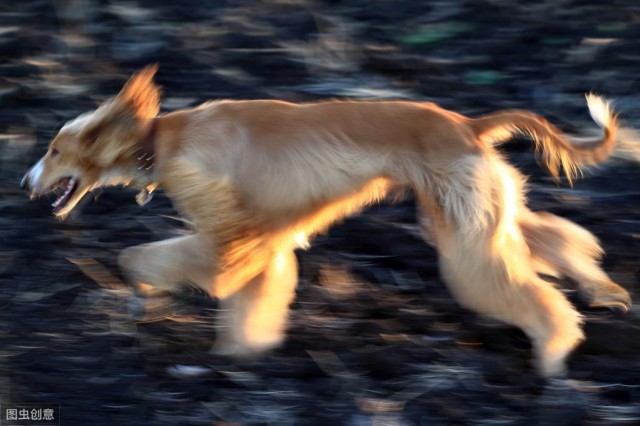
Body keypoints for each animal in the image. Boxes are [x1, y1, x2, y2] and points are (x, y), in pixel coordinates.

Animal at [20, 65, 632, 374]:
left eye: (53, 149)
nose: (24, 183)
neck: (163, 140)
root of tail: (465, 123)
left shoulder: (231, 237)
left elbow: (149, 258)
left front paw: (140, 292)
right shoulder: (262, 238)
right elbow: (257, 294)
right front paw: (246, 352)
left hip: (464, 227)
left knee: (522, 287)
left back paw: (554, 349)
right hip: (469, 210)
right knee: (553, 237)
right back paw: (603, 288)